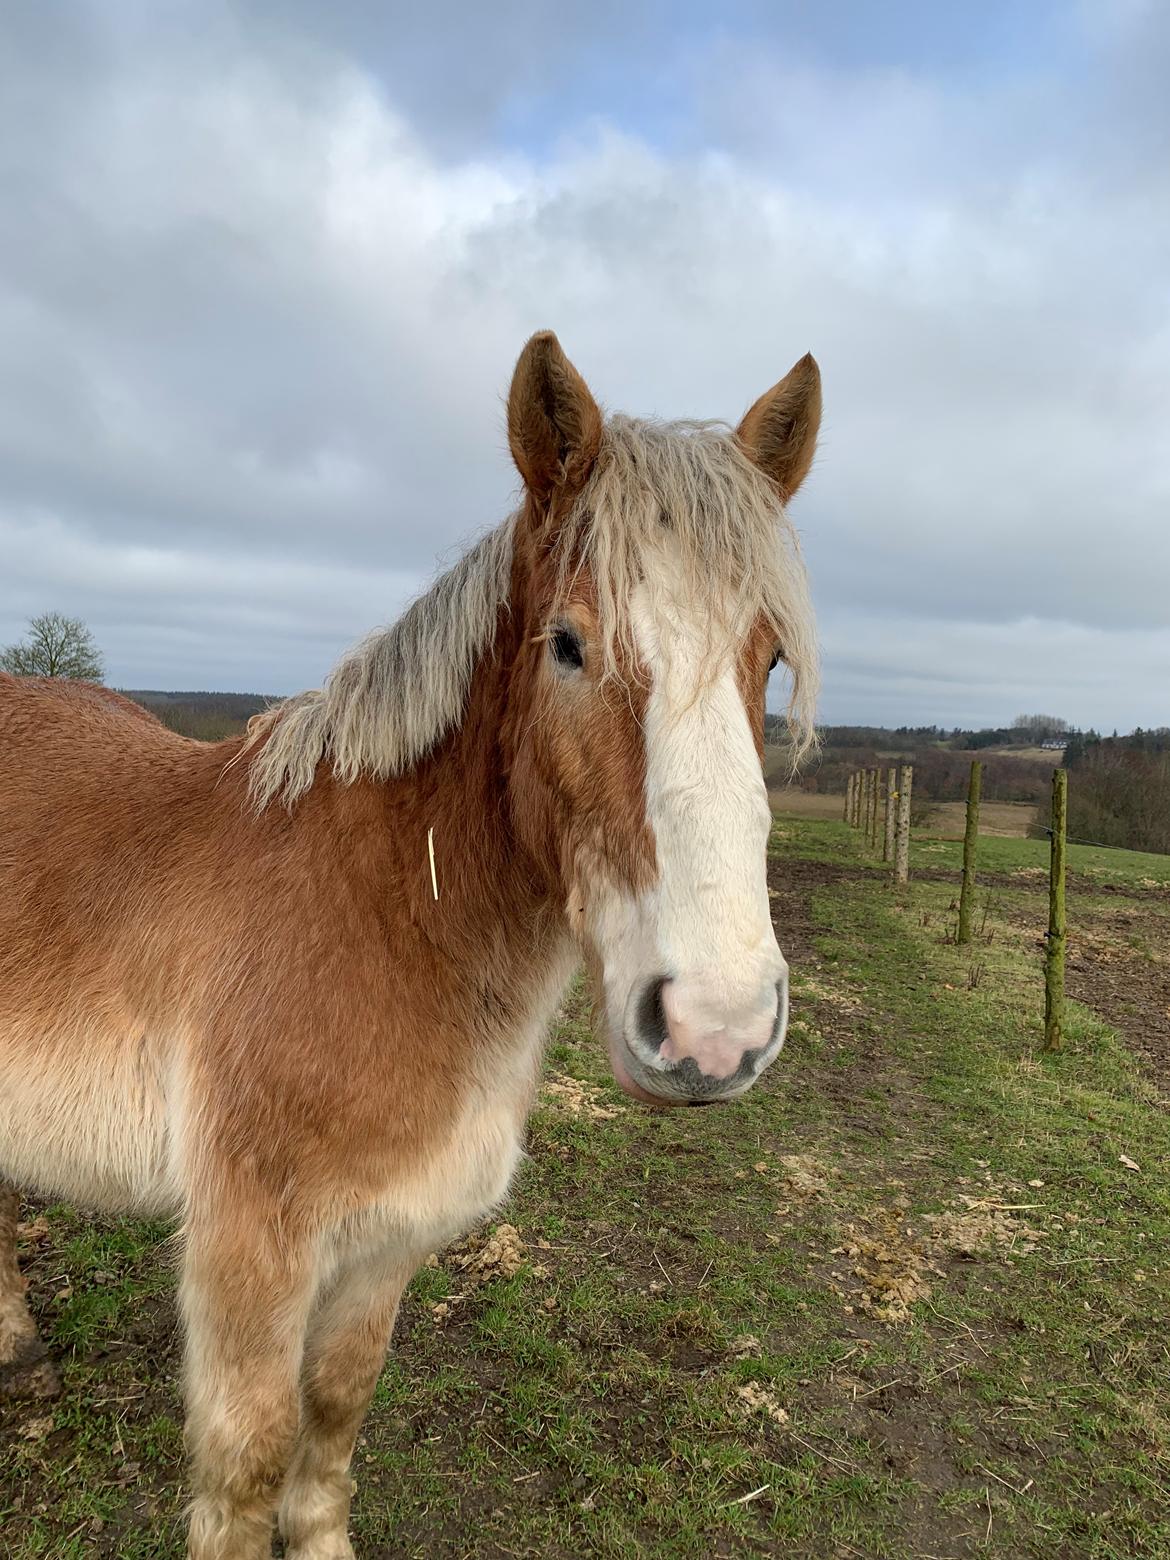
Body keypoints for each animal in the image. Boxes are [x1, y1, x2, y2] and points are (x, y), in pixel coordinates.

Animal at [0, 332, 823, 1560]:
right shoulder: (251, 1256)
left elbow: (337, 1409)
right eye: (567, 645)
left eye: (766, 661)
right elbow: (247, 1464)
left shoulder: (387, 1240)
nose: (714, 1030)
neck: (383, 917)